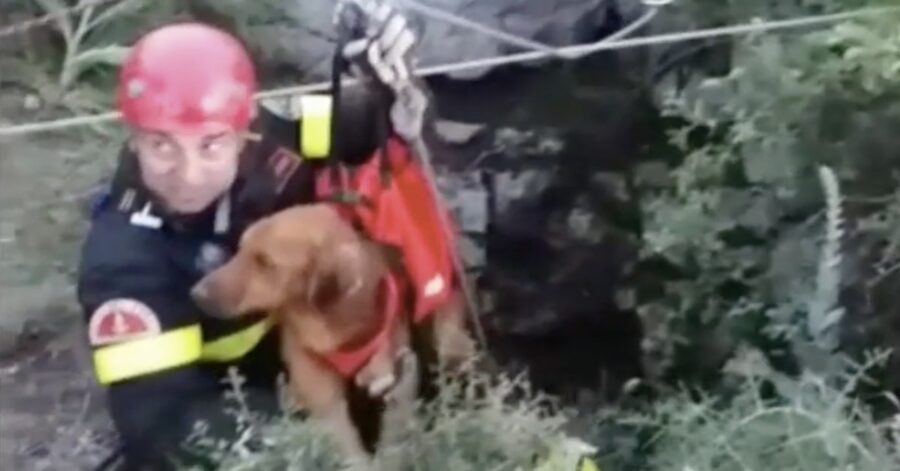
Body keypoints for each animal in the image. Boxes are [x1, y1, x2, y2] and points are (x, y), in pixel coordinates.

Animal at [187, 205, 474, 466]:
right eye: (240, 249)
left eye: (266, 263)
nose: (196, 293)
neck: (334, 328)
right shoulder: (321, 390)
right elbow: (345, 442)